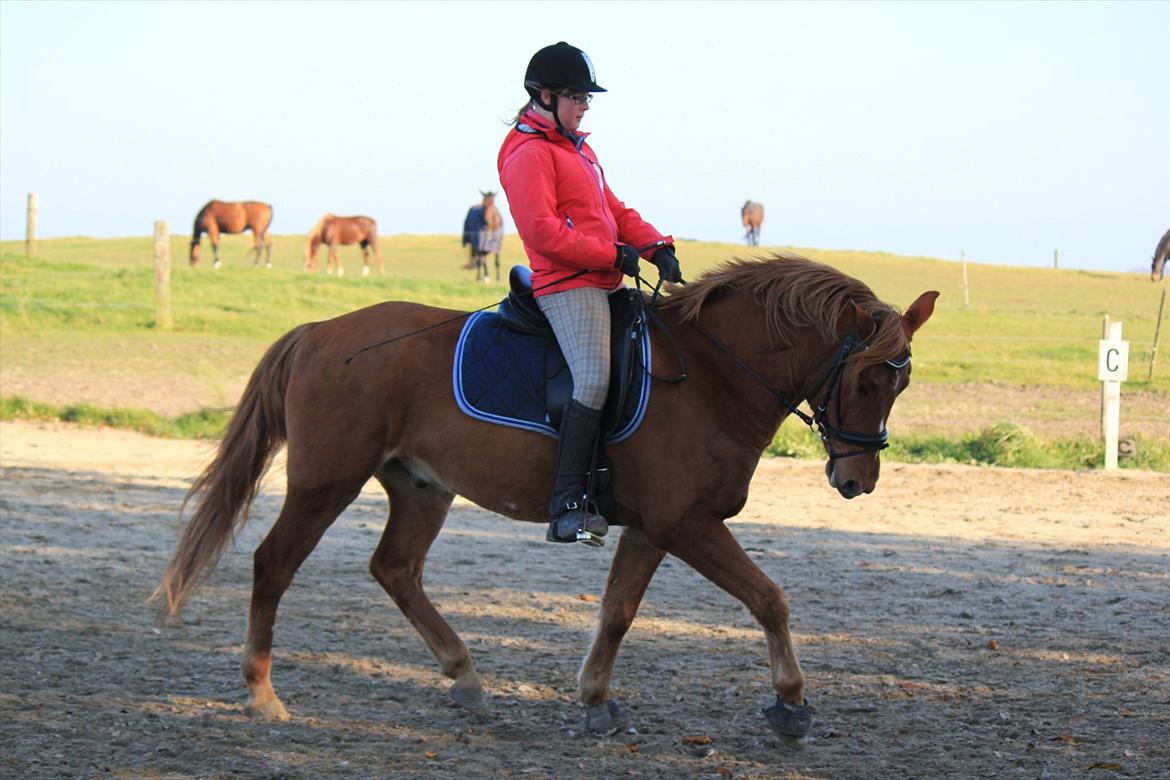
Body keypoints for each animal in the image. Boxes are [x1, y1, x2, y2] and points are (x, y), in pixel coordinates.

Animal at [155, 254, 940, 743]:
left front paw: (595, 701)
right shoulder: (686, 523)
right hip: (326, 482)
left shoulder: (654, 527)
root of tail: (321, 332)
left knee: (395, 570)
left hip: (421, 487)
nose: (857, 480)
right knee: (274, 565)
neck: (713, 376)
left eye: (901, 382)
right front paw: (791, 704)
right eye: (867, 378)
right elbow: (769, 598)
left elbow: (618, 612)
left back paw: (467, 680)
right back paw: (263, 695)